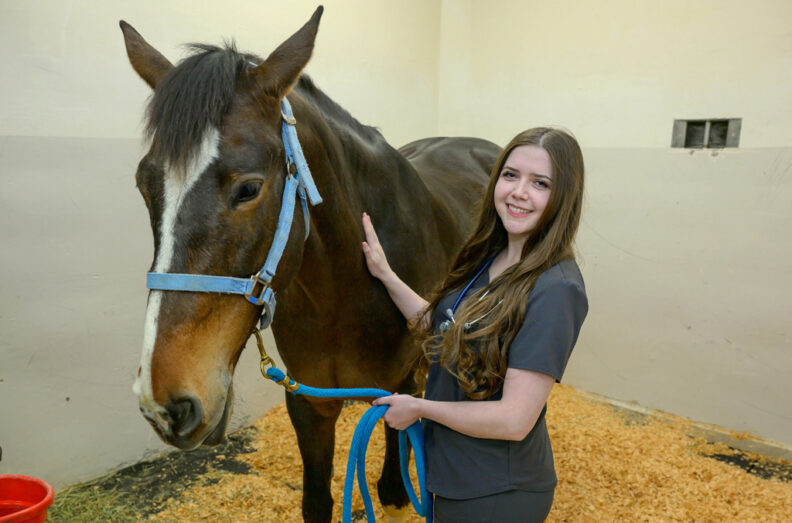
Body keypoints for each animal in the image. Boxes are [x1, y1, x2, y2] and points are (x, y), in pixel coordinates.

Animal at [120, 7, 499, 521]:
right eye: (144, 184)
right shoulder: (309, 402)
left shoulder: (400, 390)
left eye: (248, 188)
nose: (165, 403)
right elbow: (317, 500)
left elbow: (395, 476)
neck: (342, 291)